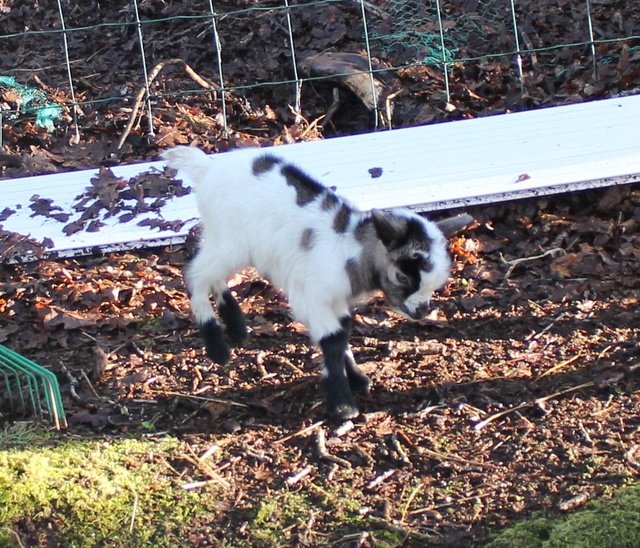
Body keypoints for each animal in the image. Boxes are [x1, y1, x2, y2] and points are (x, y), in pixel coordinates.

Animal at [160, 146, 470, 420]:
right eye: (402, 276)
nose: (421, 311)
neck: (348, 248)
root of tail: (206, 167)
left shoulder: (336, 300)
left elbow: (343, 332)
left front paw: (357, 378)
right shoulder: (313, 297)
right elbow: (333, 339)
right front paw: (343, 406)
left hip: (226, 240)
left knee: (211, 274)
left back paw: (236, 328)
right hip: (230, 241)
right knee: (195, 274)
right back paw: (218, 348)